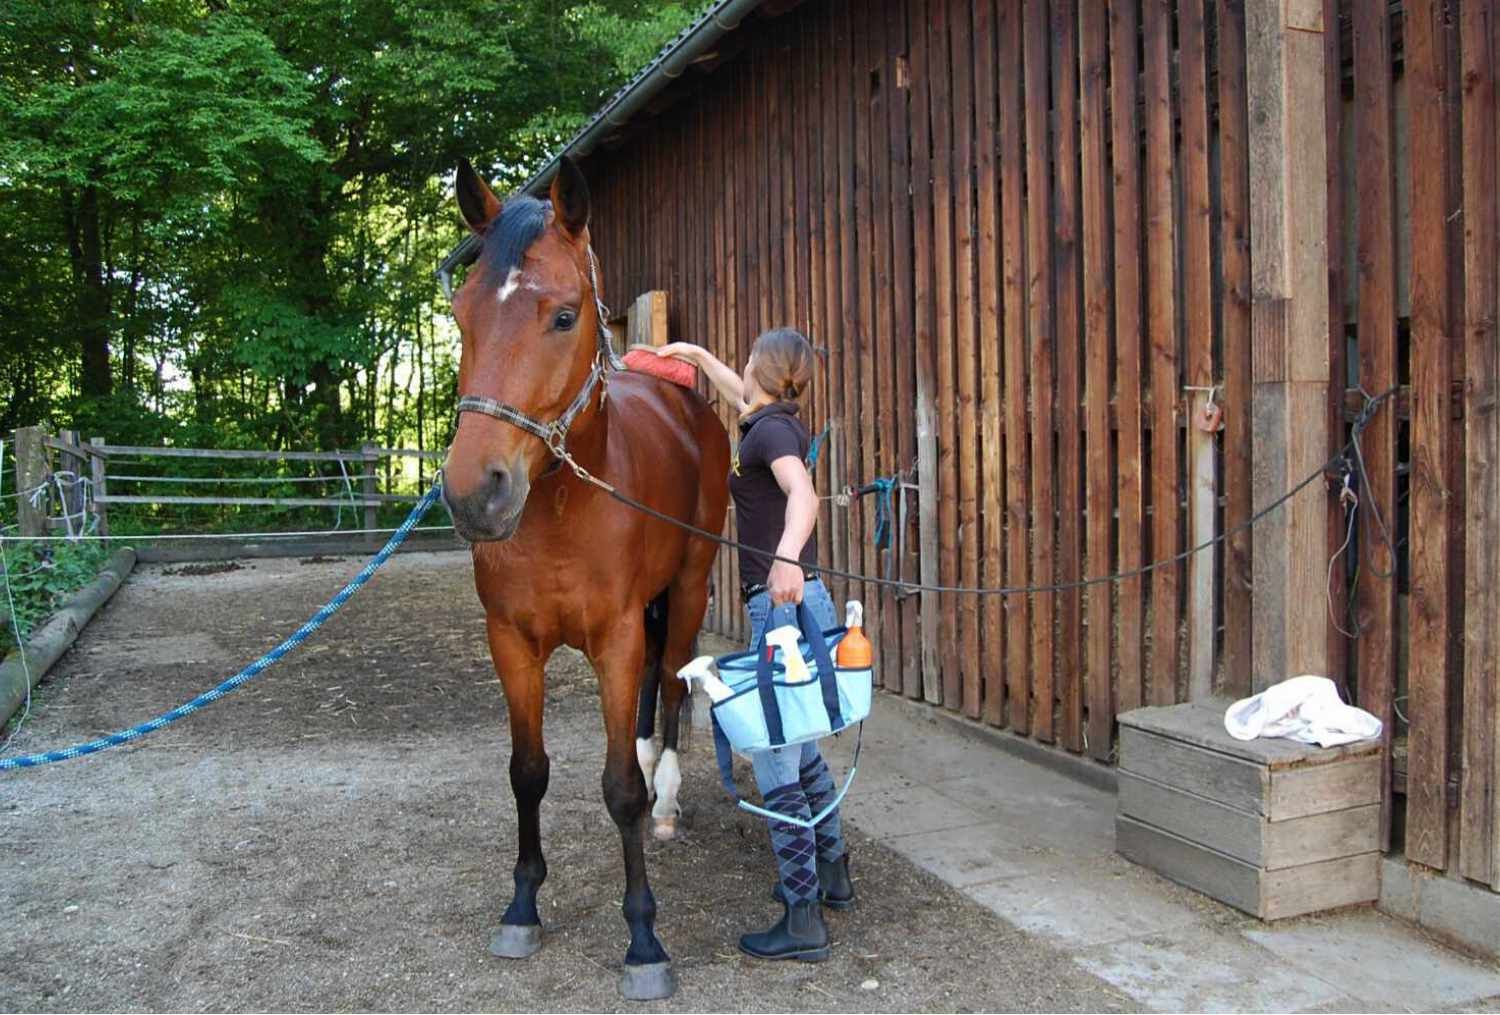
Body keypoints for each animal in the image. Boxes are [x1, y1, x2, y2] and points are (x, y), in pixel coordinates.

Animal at [441, 154, 730, 1001]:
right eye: (461, 316)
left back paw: (666, 797)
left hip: (688, 587)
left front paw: (644, 940)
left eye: (565, 316)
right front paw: (522, 903)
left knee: (671, 682)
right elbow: (527, 771)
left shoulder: (618, 638)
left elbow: (619, 790)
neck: (564, 512)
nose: (474, 493)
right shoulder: (510, 641)